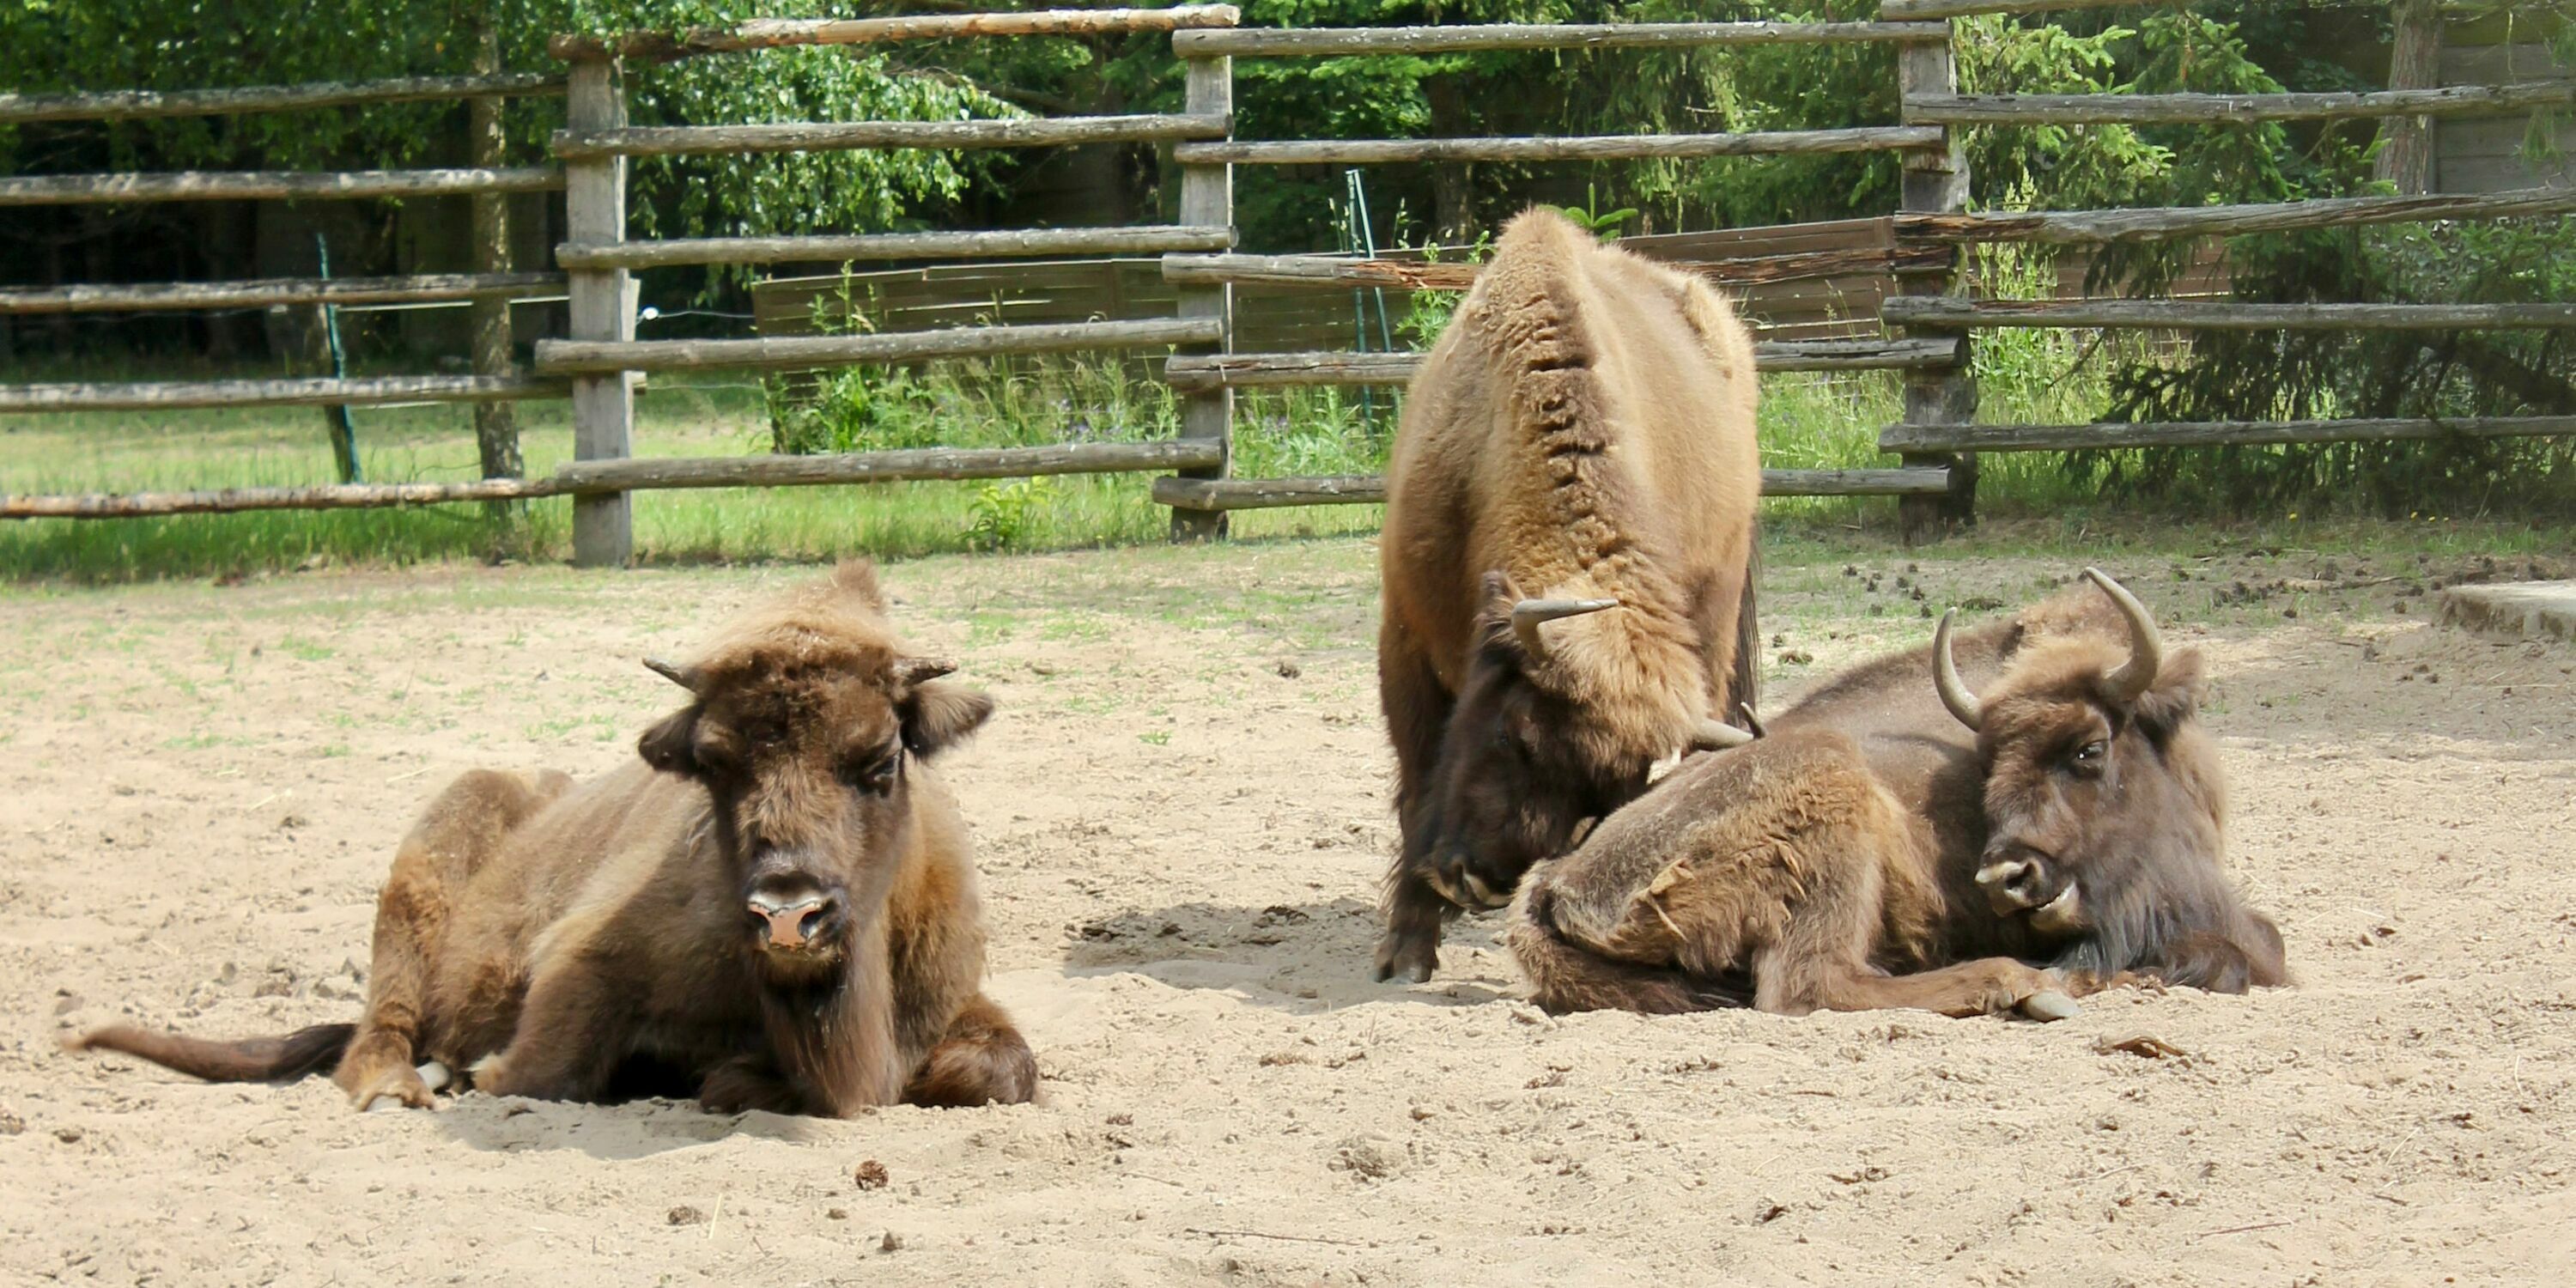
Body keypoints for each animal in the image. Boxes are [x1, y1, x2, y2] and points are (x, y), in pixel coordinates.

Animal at [73, 564, 1036, 1118]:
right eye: (712, 764)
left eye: (880, 758)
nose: (789, 915)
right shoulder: (582, 965)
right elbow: (538, 1070)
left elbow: (997, 1070)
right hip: (423, 867)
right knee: (381, 1026)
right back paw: (397, 1090)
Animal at [1381, 209, 1762, 984]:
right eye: (1509, 732)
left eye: (1605, 794)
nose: (1477, 880)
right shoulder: (1403, 640)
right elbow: (1414, 780)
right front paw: (1407, 953)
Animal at [1504, 574, 2298, 1015]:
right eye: (1987, 763)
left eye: (2089, 749)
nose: (2006, 877)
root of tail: (1554, 882)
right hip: (1832, 797)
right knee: (1817, 985)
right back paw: (2017, 985)